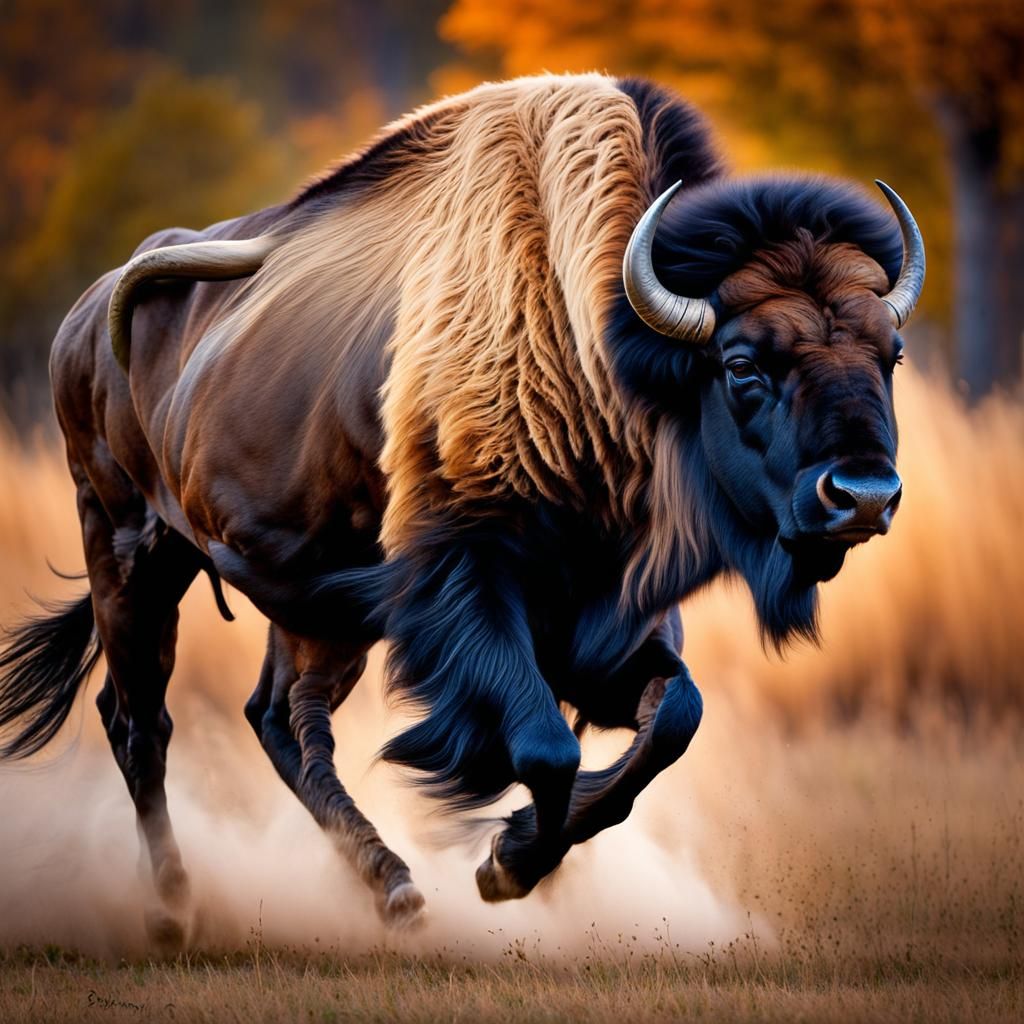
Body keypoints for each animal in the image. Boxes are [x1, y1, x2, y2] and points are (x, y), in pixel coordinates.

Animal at [0, 73, 923, 942]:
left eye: (892, 352)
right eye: (741, 364)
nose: (862, 496)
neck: (591, 345)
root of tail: (85, 317)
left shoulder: (614, 622)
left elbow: (671, 719)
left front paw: (515, 858)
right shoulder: (467, 597)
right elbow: (544, 745)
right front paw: (509, 863)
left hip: (305, 601)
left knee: (281, 718)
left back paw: (390, 886)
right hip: (132, 551)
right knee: (141, 721)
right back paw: (175, 910)